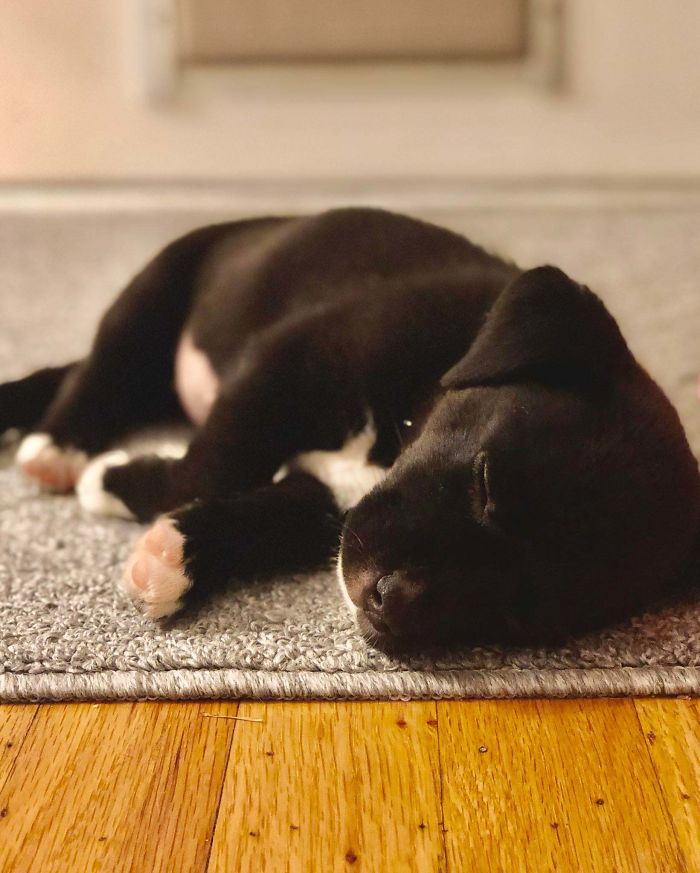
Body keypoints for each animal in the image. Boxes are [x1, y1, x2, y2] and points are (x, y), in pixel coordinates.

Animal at [1, 208, 700, 652]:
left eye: (524, 609)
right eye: (485, 482)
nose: (395, 600)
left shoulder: (327, 495)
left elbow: (267, 518)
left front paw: (173, 556)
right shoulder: (293, 360)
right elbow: (212, 465)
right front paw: (116, 479)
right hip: (158, 288)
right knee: (98, 367)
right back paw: (58, 446)